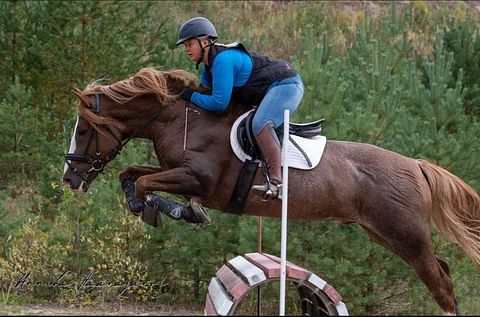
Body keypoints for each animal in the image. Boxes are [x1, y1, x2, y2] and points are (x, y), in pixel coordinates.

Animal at [62, 67, 480, 314]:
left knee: (440, 281)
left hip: (405, 234)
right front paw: (149, 205)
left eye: (83, 130)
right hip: (383, 232)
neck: (179, 119)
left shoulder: (199, 180)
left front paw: (171, 210)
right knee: (441, 269)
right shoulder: (177, 172)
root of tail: (415, 164)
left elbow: (146, 181)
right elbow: (132, 173)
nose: (69, 179)